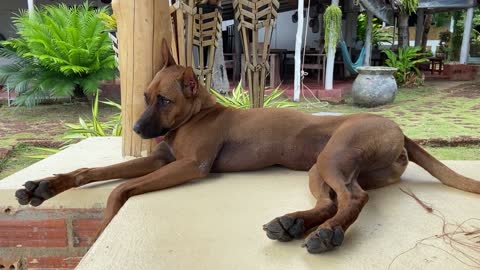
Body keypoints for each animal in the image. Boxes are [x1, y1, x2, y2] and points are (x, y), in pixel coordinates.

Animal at [15, 39, 480, 253]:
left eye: (164, 100)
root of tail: (399, 130)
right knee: (332, 200)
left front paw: (106, 223)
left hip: (336, 155)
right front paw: (45, 185)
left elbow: (120, 190)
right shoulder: (161, 158)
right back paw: (293, 224)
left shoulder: (190, 165)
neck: (195, 115)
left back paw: (327, 234)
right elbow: (92, 172)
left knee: (353, 198)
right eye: (146, 96)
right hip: (320, 167)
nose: (136, 127)